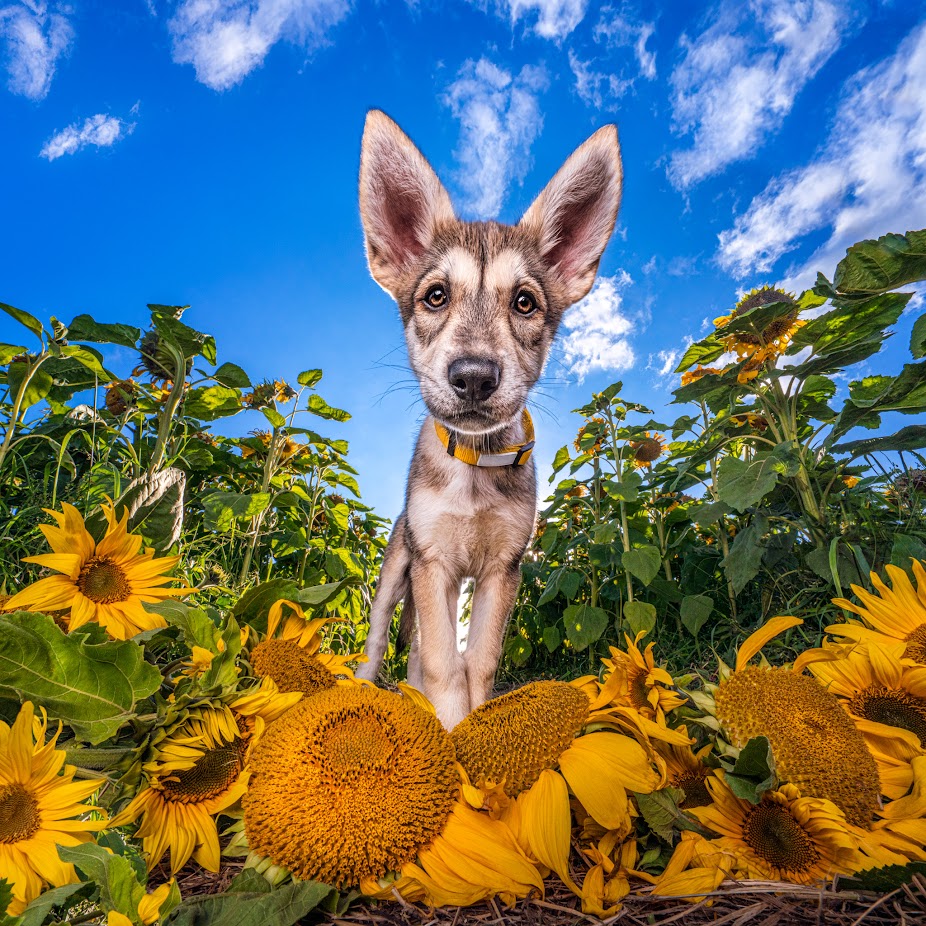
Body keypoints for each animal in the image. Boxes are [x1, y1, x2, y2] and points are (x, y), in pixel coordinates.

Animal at [356, 110, 624, 732]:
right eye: (435, 296)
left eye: (525, 302)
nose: (474, 377)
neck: (475, 470)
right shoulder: (432, 562)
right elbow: (441, 663)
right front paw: (448, 731)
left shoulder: (502, 569)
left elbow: (475, 663)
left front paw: (473, 729)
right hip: (396, 569)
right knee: (380, 640)